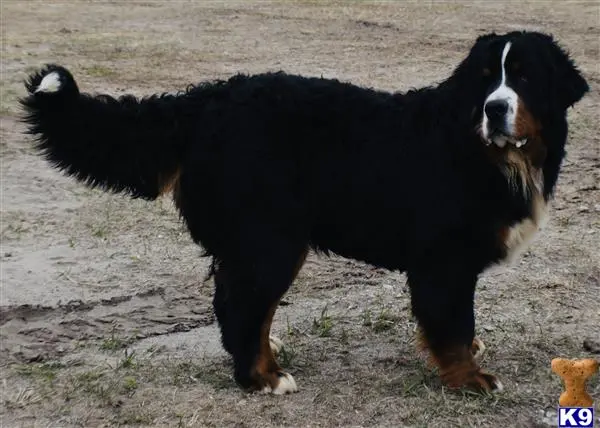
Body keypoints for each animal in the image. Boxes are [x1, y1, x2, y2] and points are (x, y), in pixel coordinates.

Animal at [21, 30, 588, 394]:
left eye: (525, 79)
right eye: (486, 81)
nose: (495, 108)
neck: (486, 152)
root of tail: (207, 101)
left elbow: (458, 327)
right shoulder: (443, 262)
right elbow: (452, 327)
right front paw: (469, 381)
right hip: (270, 241)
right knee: (241, 306)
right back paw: (262, 378)